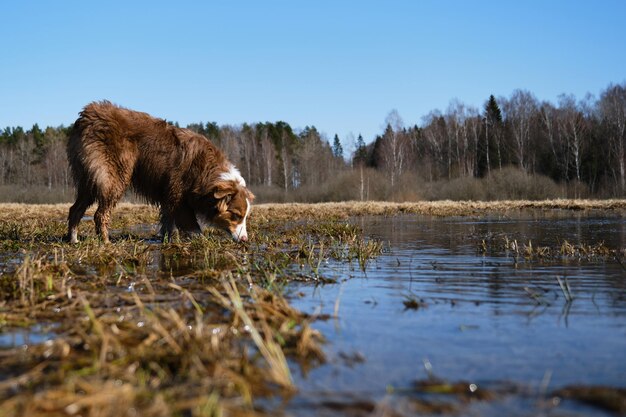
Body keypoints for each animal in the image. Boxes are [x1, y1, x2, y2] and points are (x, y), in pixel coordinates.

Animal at [66, 101, 254, 242]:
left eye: (245, 216)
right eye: (236, 215)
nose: (245, 240)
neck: (205, 170)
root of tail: (87, 114)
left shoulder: (169, 195)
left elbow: (168, 220)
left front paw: (170, 239)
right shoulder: (178, 194)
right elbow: (191, 224)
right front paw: (200, 240)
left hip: (90, 180)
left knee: (75, 209)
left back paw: (73, 240)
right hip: (114, 177)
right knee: (100, 214)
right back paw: (105, 242)